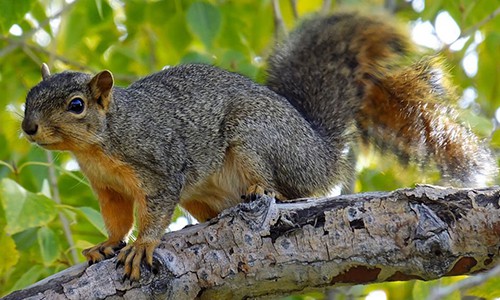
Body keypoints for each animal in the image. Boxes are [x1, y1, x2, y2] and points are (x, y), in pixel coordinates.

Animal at [20, 10, 496, 280]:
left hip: (255, 137)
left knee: (284, 189)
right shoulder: (107, 187)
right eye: (29, 94)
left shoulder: (159, 165)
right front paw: (108, 243)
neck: (100, 144)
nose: (28, 127)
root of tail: (319, 153)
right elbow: (116, 220)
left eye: (77, 105)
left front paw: (143, 245)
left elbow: (153, 211)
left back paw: (261, 190)